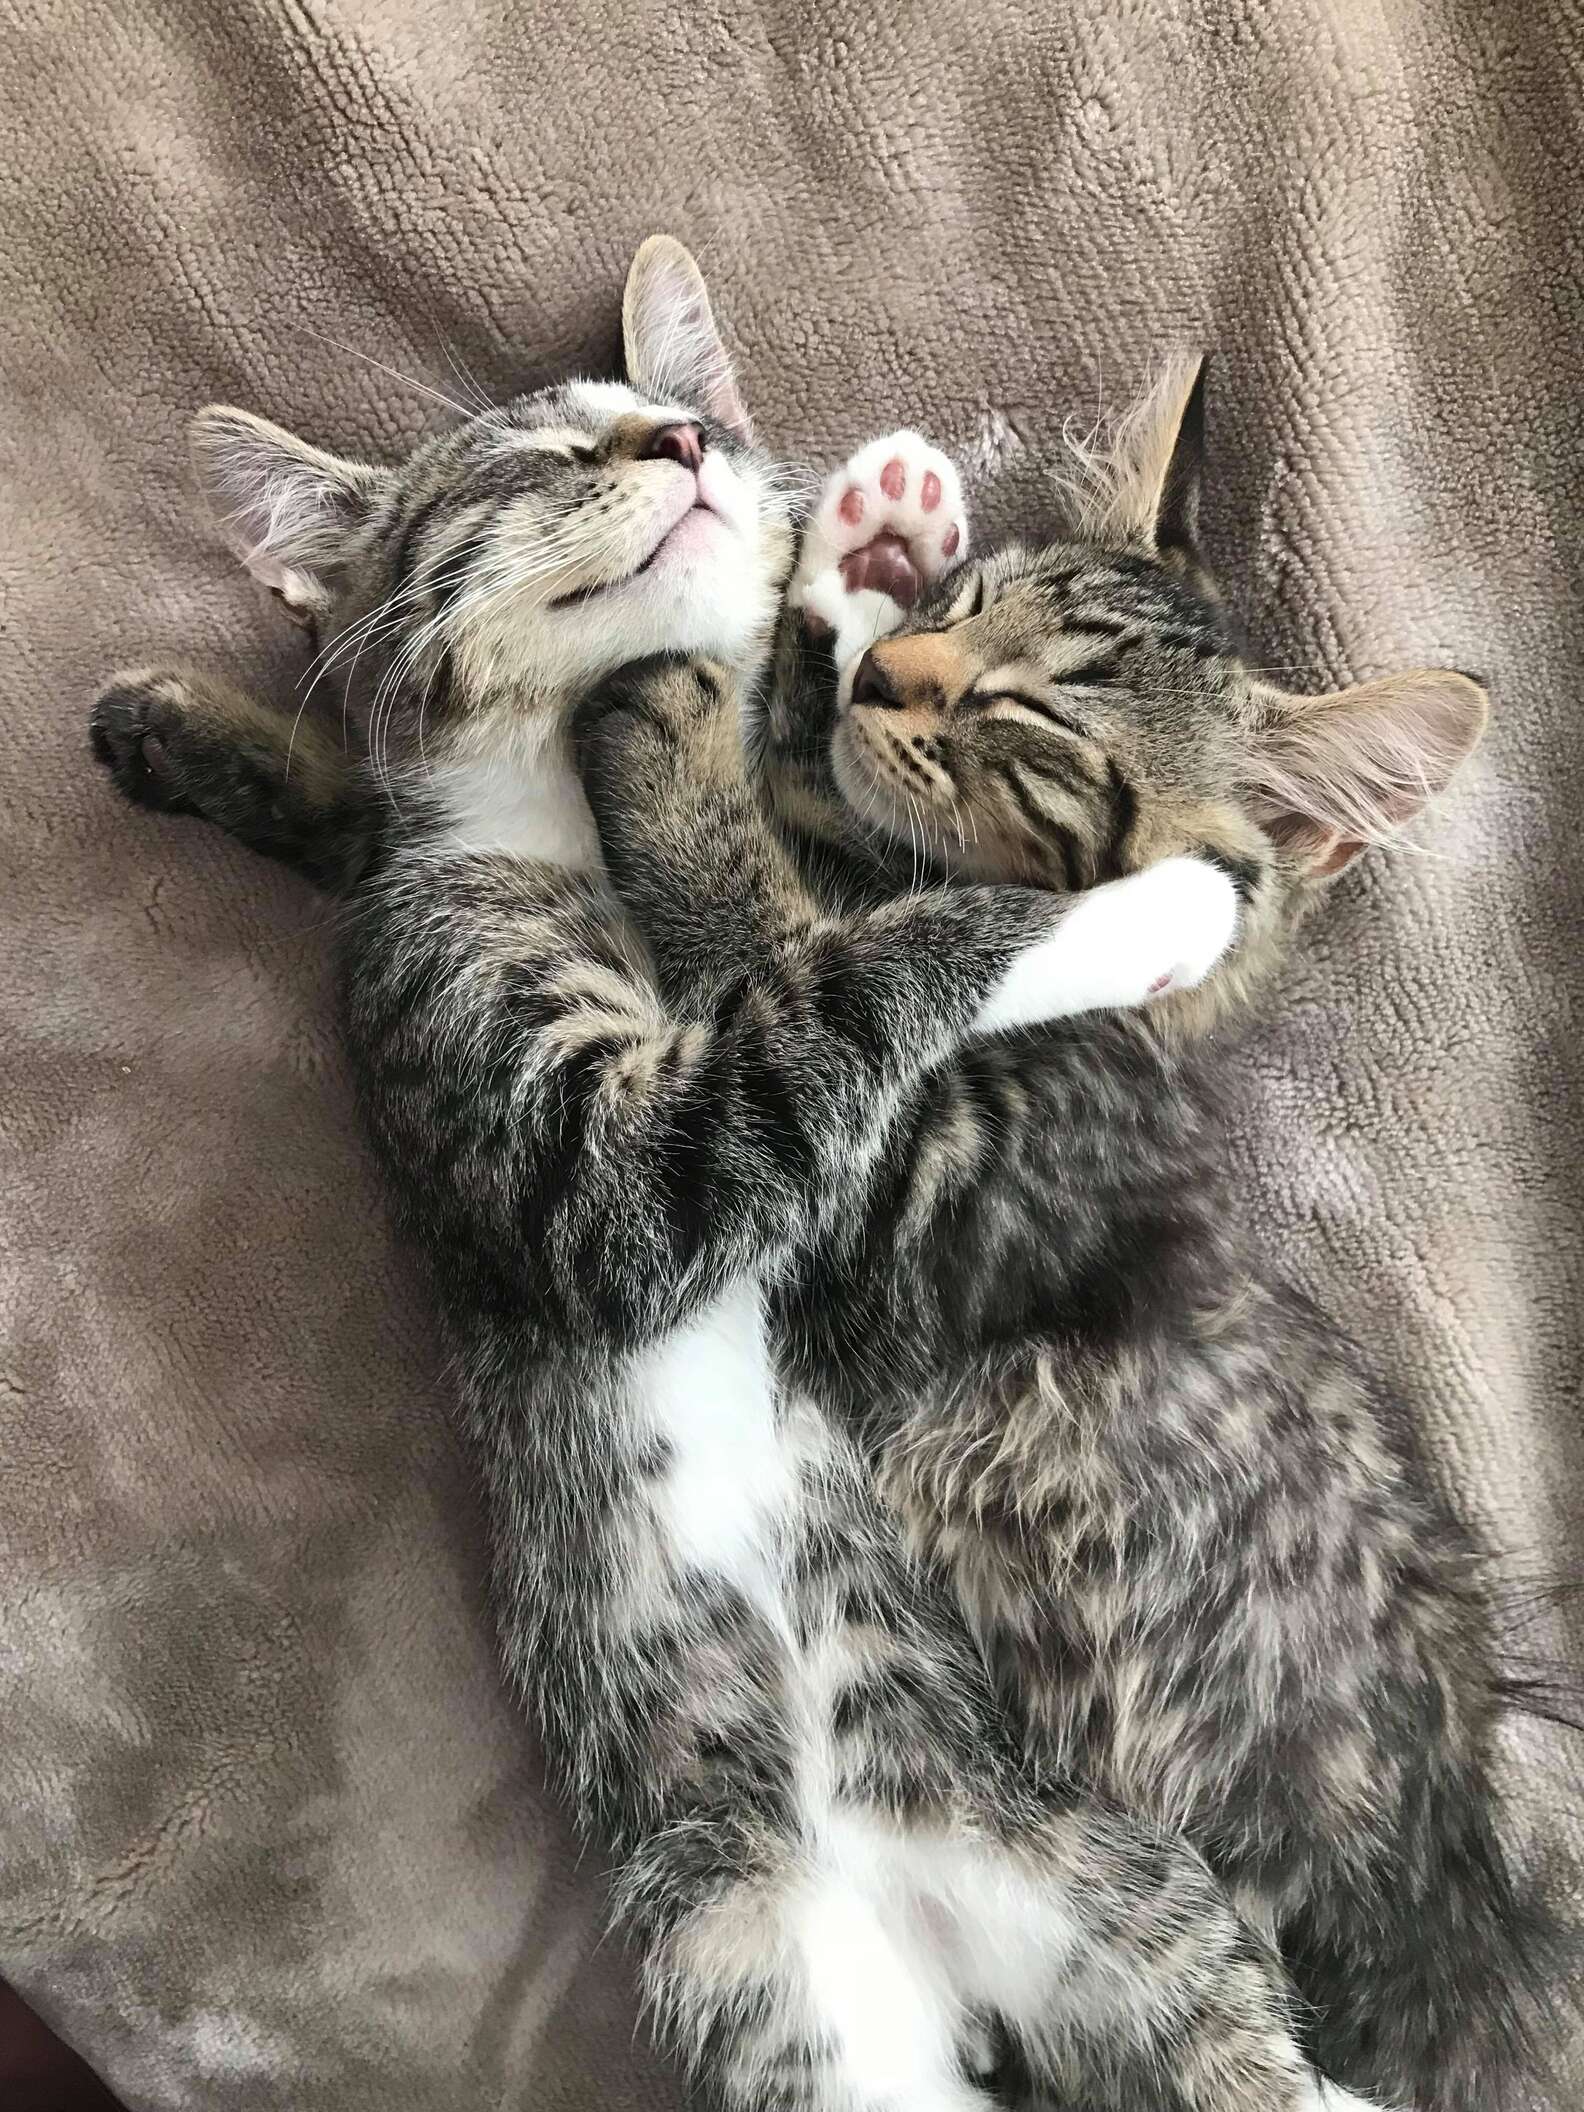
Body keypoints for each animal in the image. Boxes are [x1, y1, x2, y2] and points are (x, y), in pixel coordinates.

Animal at [89, 242, 1377, 2112]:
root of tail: (933, 1927)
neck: (555, 806)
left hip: (1114, 1893)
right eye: (527, 462)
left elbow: (822, 879)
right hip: (770, 1979)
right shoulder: (586, 1148)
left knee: (1242, 2059)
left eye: (670, 409)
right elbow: (855, 976)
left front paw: (853, 564)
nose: (684, 436)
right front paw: (1146, 908)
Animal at [756, 367, 1579, 2112]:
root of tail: (1456, 1901)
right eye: (967, 606)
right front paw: (862, 563)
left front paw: (819, 615)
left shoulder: (912, 1179)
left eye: (1034, 721)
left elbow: (767, 871)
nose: (893, 669)